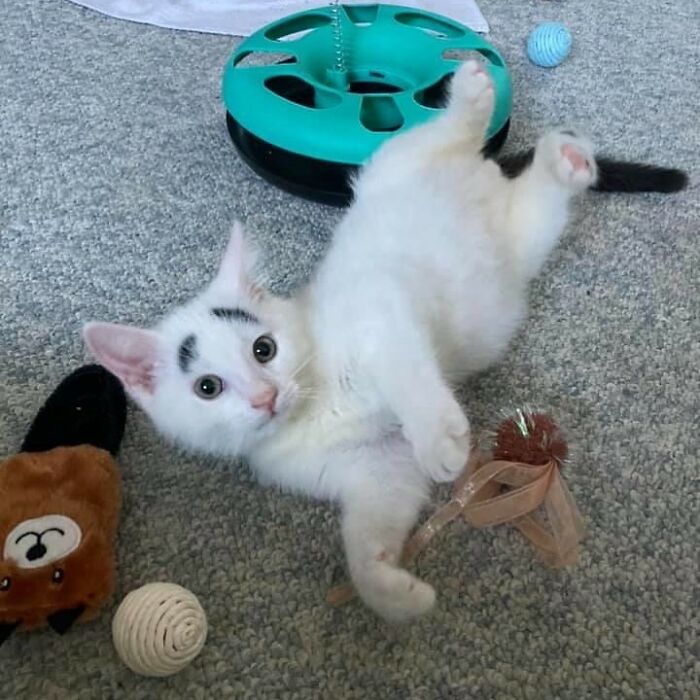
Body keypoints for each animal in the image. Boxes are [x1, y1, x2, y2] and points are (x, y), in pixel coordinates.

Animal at [82, 63, 596, 620]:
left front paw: (440, 439)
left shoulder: (380, 310)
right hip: (517, 247)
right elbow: (374, 519)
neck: (313, 407)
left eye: (264, 349)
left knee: (435, 137)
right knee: (537, 209)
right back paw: (562, 161)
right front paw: (389, 590)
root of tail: (485, 177)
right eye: (208, 388)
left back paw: (475, 97)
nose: (265, 397)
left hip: (388, 166)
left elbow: (407, 376)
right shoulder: (376, 465)